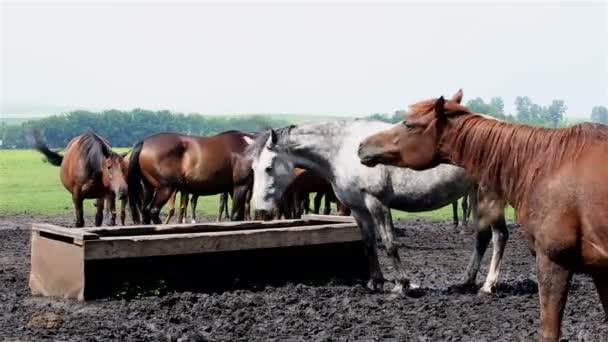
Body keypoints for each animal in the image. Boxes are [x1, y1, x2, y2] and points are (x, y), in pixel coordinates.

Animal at [247, 121, 508, 294]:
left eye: (268, 167)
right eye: (253, 168)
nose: (261, 209)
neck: (343, 150)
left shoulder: (377, 203)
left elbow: (390, 244)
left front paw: (402, 284)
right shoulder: (359, 210)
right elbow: (369, 245)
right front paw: (375, 282)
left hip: (488, 195)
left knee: (500, 236)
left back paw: (488, 285)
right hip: (475, 195)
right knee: (482, 237)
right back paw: (466, 282)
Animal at [356, 89, 608, 342]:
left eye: (409, 124)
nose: (362, 146)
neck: (546, 167)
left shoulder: (553, 261)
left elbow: (549, 331)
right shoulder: (599, 270)